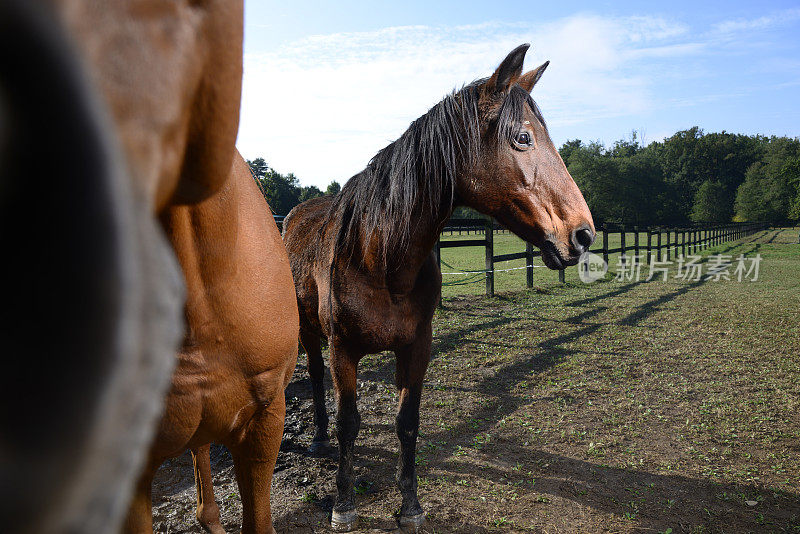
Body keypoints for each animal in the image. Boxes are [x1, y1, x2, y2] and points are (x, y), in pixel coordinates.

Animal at [284, 45, 596, 532]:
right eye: (522, 138)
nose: (583, 234)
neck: (379, 257)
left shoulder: (417, 346)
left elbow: (407, 422)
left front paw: (410, 505)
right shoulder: (343, 350)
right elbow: (349, 422)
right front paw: (343, 504)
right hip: (308, 330)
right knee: (315, 378)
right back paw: (317, 439)